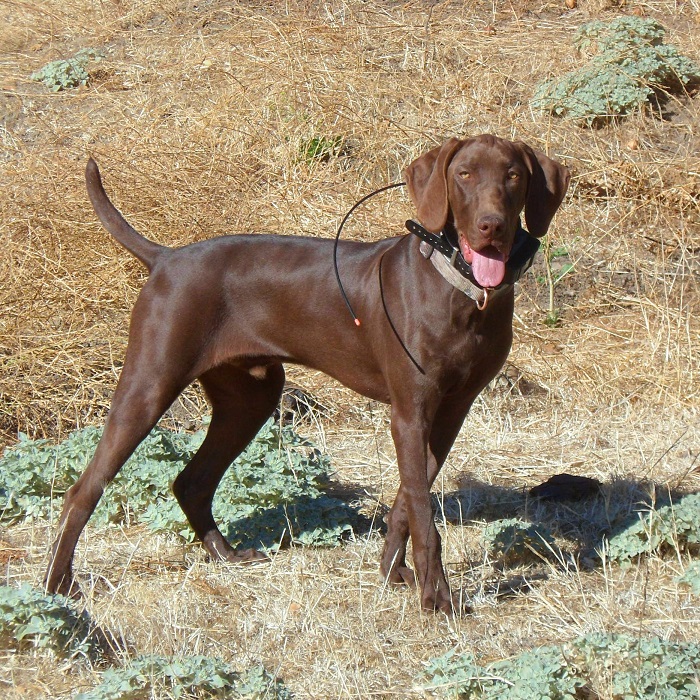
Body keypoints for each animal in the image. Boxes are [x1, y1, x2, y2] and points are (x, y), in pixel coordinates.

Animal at [43, 135, 568, 612]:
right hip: (150, 385)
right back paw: (58, 586)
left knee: (191, 482)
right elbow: (423, 512)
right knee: (83, 490)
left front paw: (391, 570)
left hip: (250, 397)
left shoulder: (450, 412)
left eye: (513, 176)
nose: (491, 226)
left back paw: (225, 556)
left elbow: (407, 500)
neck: (461, 290)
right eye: (464, 174)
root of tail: (166, 257)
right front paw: (435, 595)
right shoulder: (410, 412)